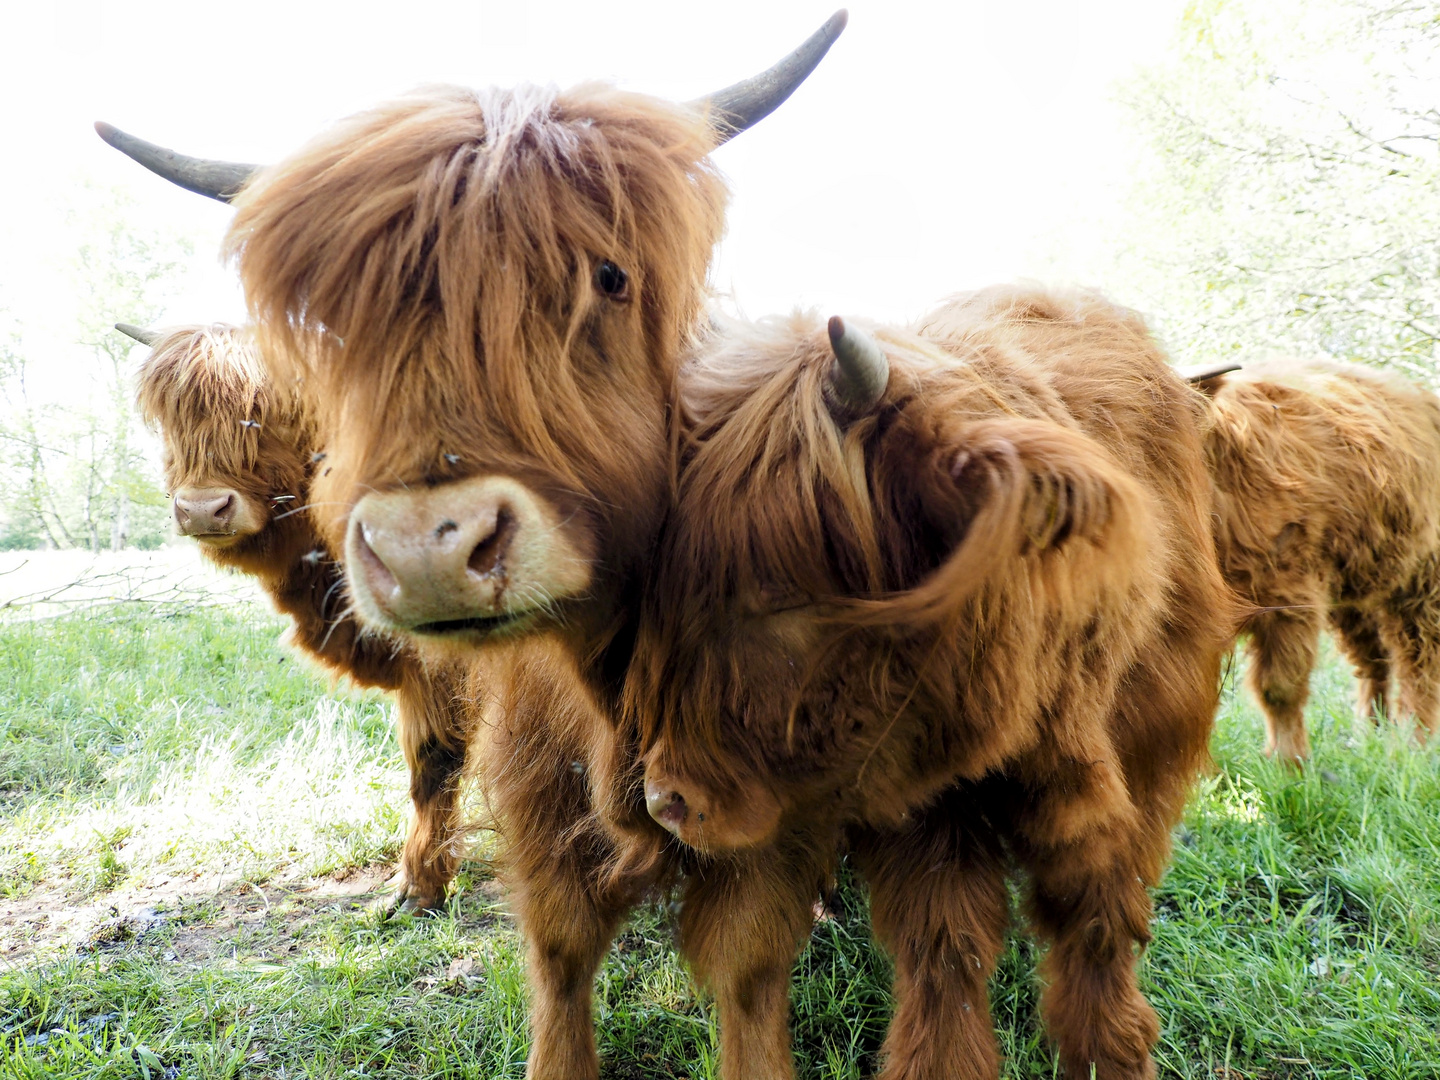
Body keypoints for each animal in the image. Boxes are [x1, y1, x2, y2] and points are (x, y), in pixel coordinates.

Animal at [1198, 360, 1440, 766]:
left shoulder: (1287, 597)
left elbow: (1279, 686)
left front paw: (1289, 763)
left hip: (1421, 577)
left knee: (1417, 660)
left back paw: (1411, 745)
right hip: (1354, 588)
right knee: (1372, 659)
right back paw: (1367, 733)